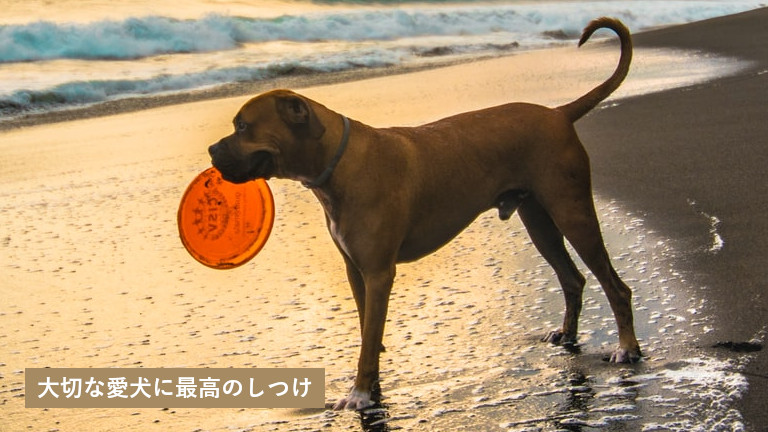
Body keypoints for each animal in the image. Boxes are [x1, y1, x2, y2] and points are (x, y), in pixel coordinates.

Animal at [210, 16, 640, 408]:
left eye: (243, 126)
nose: (212, 150)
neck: (338, 162)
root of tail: (558, 113)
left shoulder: (378, 273)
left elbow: (369, 338)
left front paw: (360, 393)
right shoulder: (356, 271)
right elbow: (368, 331)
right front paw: (371, 382)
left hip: (572, 212)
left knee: (615, 286)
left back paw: (626, 348)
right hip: (539, 220)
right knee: (572, 278)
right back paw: (568, 334)